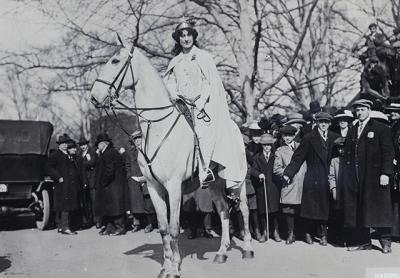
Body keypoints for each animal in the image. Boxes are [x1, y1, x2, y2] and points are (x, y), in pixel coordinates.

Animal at [90, 41, 253, 278]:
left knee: (244, 209)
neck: (158, 127)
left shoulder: (174, 186)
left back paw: (248, 248)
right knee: (224, 210)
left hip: (236, 179)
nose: (94, 96)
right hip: (215, 183)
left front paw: (175, 269)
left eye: (115, 61)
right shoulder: (154, 187)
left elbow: (175, 228)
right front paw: (166, 267)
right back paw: (221, 252)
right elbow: (163, 228)